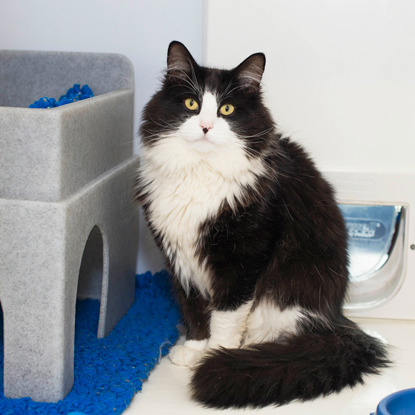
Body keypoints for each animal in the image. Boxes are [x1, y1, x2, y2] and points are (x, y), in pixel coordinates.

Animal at [137, 41, 390, 410]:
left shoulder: (244, 255)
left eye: (226, 109)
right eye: (191, 104)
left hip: (289, 290)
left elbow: (226, 314)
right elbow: (193, 308)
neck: (200, 172)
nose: (206, 127)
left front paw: (214, 354)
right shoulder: (178, 257)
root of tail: (336, 319)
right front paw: (196, 347)